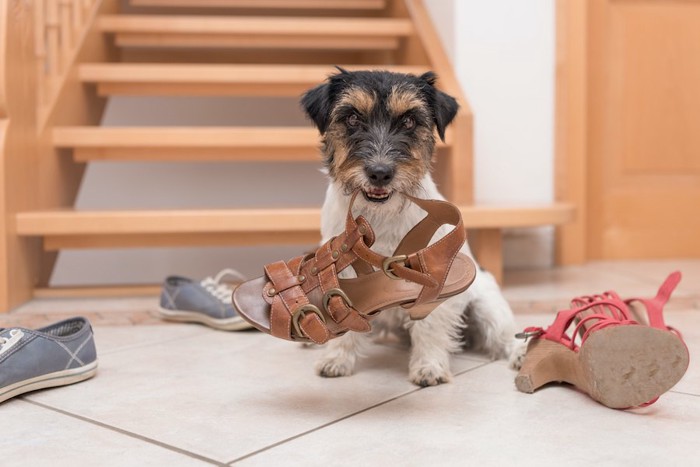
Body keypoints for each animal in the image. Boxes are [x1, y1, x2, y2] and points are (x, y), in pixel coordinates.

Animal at [298, 67, 524, 386]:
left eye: (408, 121)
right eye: (352, 118)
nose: (380, 173)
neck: (378, 215)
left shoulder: (434, 278)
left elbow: (429, 326)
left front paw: (428, 367)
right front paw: (337, 359)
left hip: (488, 307)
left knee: (505, 336)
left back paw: (520, 353)